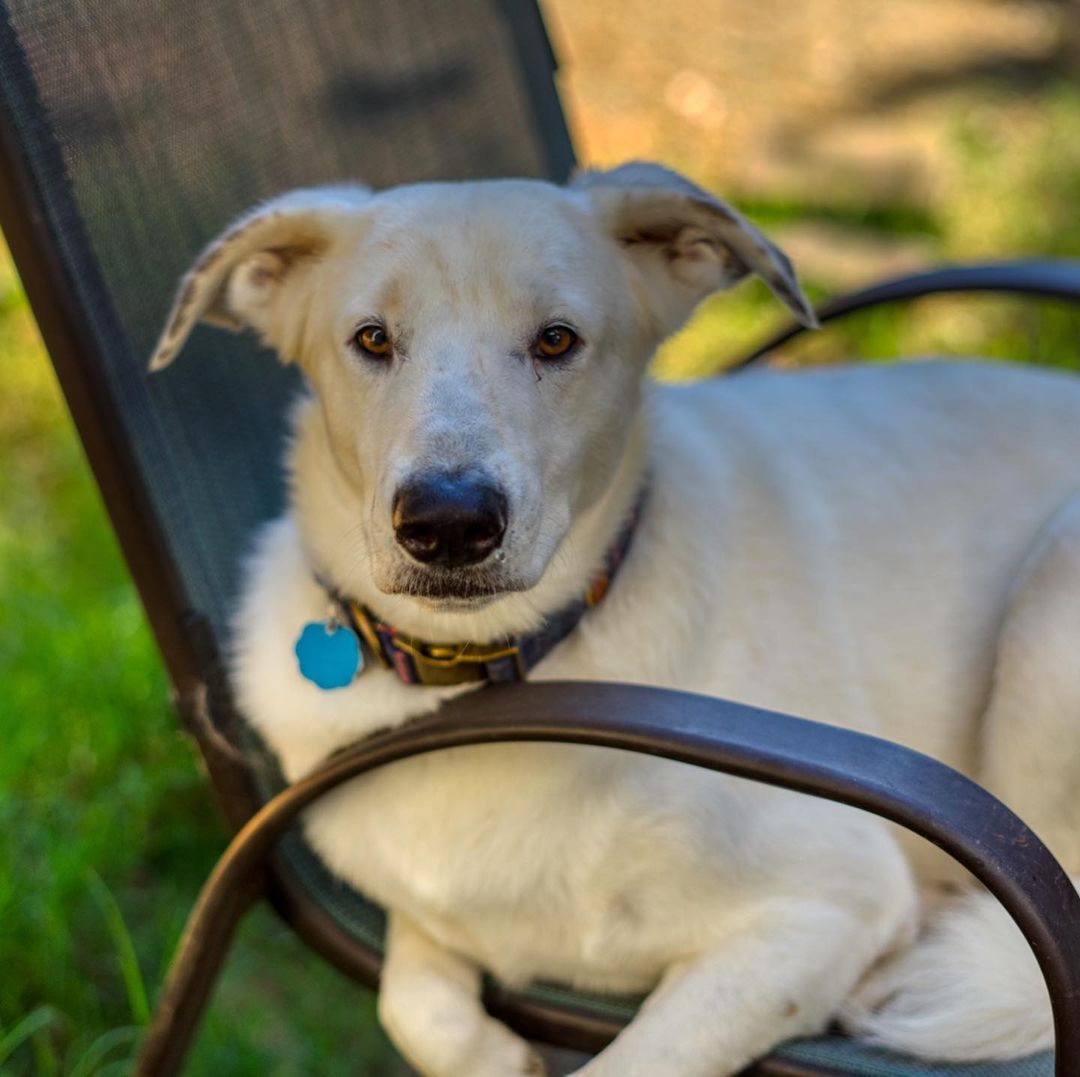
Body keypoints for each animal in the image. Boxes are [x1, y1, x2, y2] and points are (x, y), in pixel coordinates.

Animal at [150, 162, 1080, 1075]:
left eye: (557, 340)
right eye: (372, 339)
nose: (447, 523)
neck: (492, 684)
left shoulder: (823, 905)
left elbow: (627, 1061)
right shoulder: (417, 912)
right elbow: (414, 1004)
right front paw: (500, 1059)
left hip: (1046, 617)